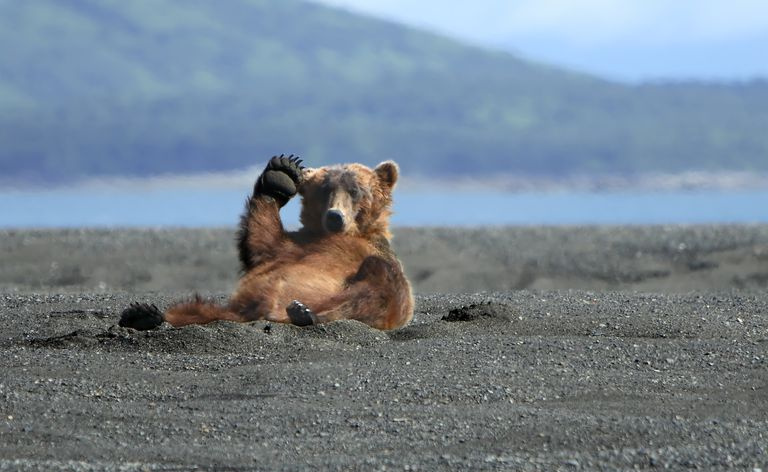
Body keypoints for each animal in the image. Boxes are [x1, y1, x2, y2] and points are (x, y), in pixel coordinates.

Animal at [119, 155, 414, 331]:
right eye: (325, 190)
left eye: (355, 191)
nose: (335, 216)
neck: (341, 236)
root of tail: (269, 313)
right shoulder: (292, 247)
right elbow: (262, 240)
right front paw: (281, 174)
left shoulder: (374, 255)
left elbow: (390, 289)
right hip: (229, 309)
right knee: (196, 309)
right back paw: (144, 315)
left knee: (376, 287)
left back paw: (306, 313)